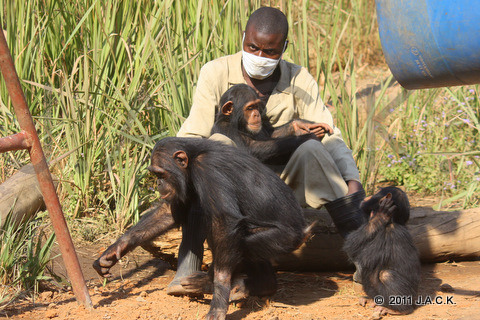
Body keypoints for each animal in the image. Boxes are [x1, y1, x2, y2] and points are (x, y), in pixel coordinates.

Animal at [93, 137, 312, 320]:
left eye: (161, 173)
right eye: (155, 174)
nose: (158, 183)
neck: (192, 159)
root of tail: (304, 229)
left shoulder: (208, 170)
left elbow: (225, 220)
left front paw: (219, 297)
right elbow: (171, 212)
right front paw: (114, 250)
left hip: (282, 239)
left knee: (237, 240)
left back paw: (225, 283)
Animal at [344, 188, 422, 316]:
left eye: (378, 192)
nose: (369, 195)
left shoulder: (387, 233)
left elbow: (359, 252)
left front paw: (379, 217)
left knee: (386, 275)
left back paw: (399, 309)